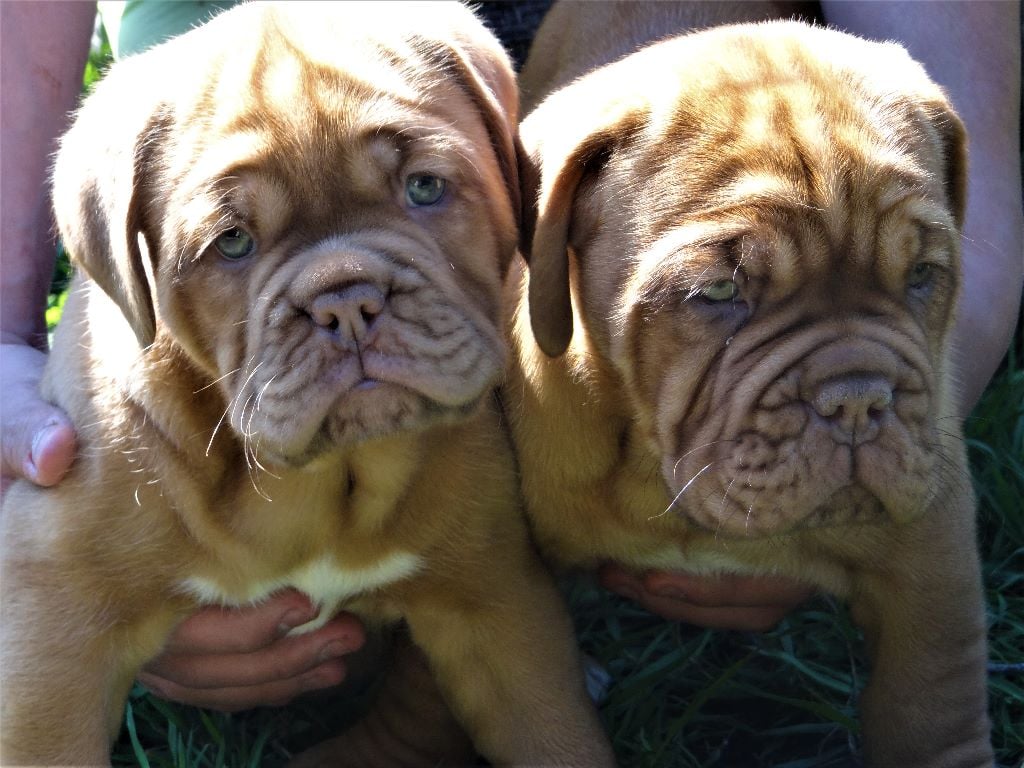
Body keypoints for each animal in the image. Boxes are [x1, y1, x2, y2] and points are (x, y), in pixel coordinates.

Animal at [0, 3, 610, 765]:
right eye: (232, 242)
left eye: (424, 187)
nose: (346, 303)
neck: (325, 486)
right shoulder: (54, 613)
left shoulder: (498, 605)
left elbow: (558, 736)